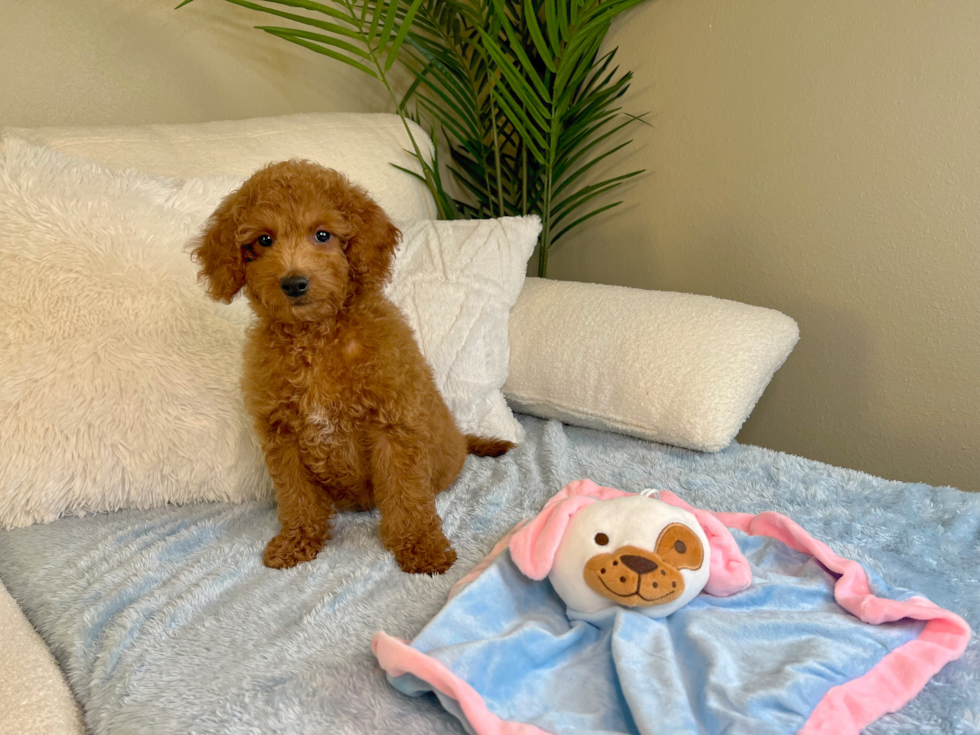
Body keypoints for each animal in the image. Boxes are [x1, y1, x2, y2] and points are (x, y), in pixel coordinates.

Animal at [191, 160, 512, 576]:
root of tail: (461, 439)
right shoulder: (283, 435)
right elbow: (296, 495)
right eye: (263, 240)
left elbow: (406, 493)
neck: (316, 338)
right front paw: (297, 540)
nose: (294, 283)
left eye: (322, 235)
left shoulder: (393, 426)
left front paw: (420, 546)